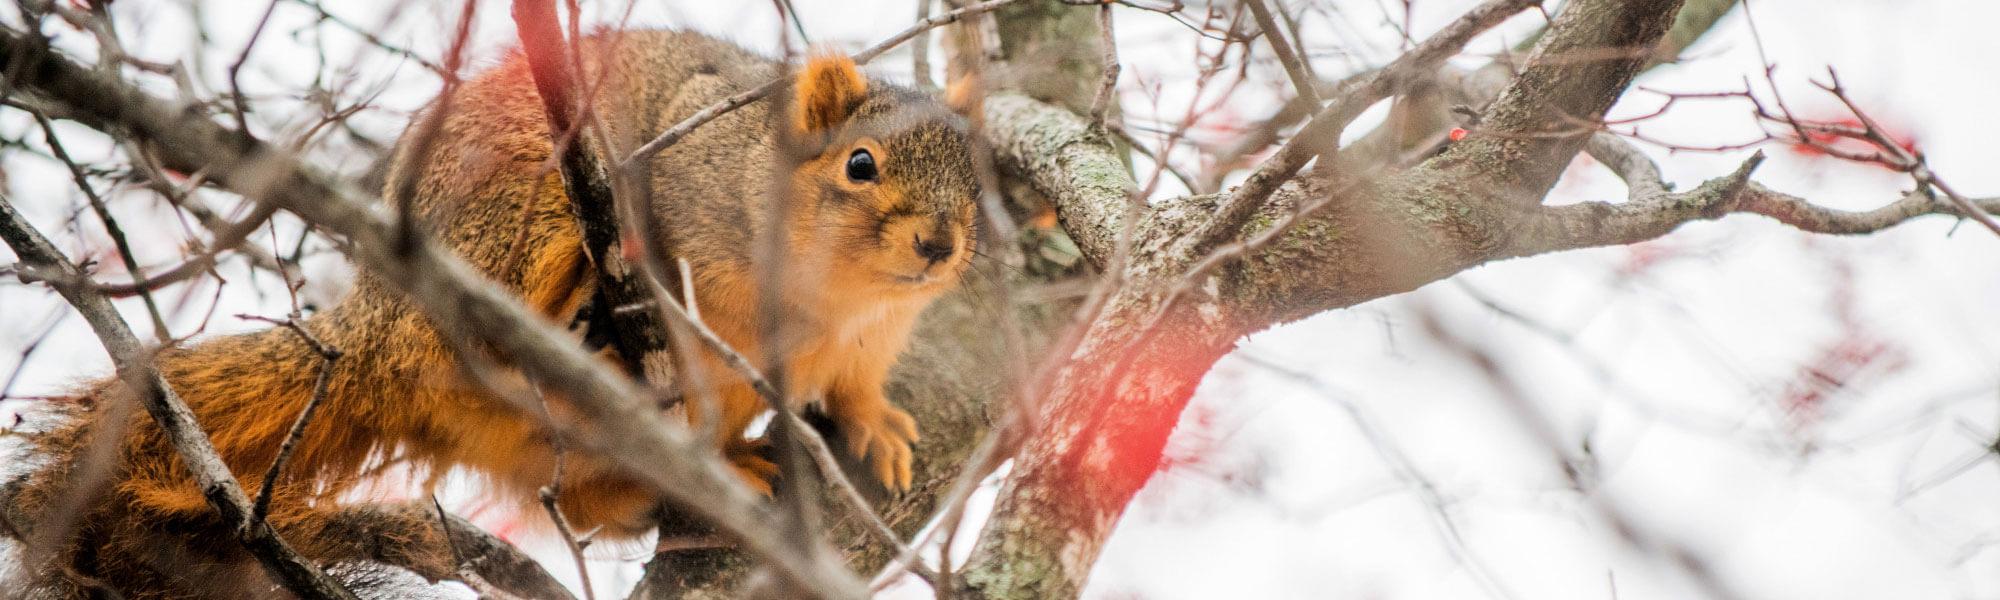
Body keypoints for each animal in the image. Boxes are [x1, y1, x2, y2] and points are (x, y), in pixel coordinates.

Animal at [7, 29, 984, 600]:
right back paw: (582, 328)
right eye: (859, 164)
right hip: (519, 204)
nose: (941, 244)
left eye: (979, 179)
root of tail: (372, 329)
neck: (833, 301)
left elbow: (857, 384)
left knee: (583, 493)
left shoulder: (871, 337)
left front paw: (877, 423)